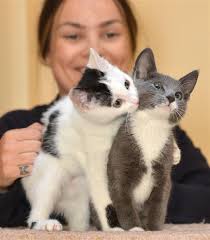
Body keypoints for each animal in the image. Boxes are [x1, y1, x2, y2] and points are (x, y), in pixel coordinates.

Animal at [21, 48, 139, 231]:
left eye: (127, 83)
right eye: (117, 103)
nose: (136, 100)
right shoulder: (94, 155)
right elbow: (102, 195)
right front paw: (113, 229)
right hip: (50, 174)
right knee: (38, 208)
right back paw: (44, 223)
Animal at [106, 48, 199, 231]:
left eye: (179, 95)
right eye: (157, 86)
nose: (171, 97)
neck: (151, 128)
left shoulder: (163, 174)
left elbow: (158, 204)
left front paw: (153, 229)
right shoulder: (120, 165)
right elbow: (124, 201)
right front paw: (134, 228)